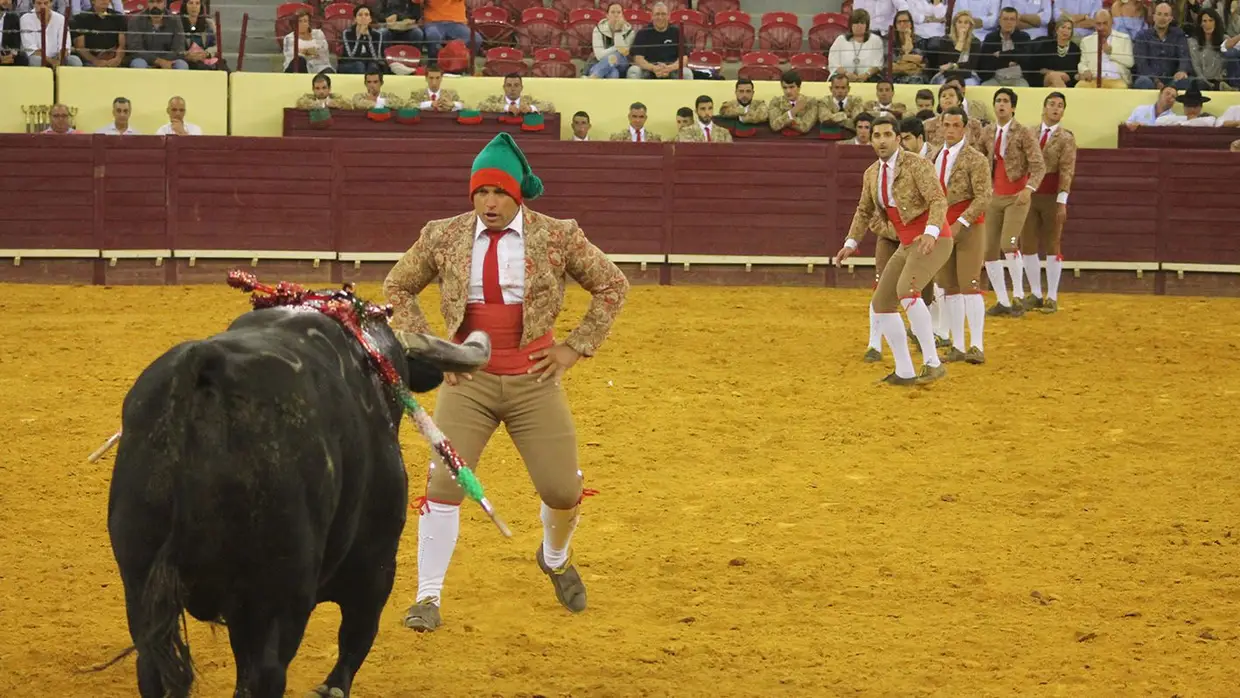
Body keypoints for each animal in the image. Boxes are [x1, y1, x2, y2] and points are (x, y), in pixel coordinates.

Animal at [107, 301, 488, 698]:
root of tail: (205, 367)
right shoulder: (376, 563)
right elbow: (356, 636)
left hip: (140, 582)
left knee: (153, 669)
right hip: (277, 597)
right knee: (267, 674)